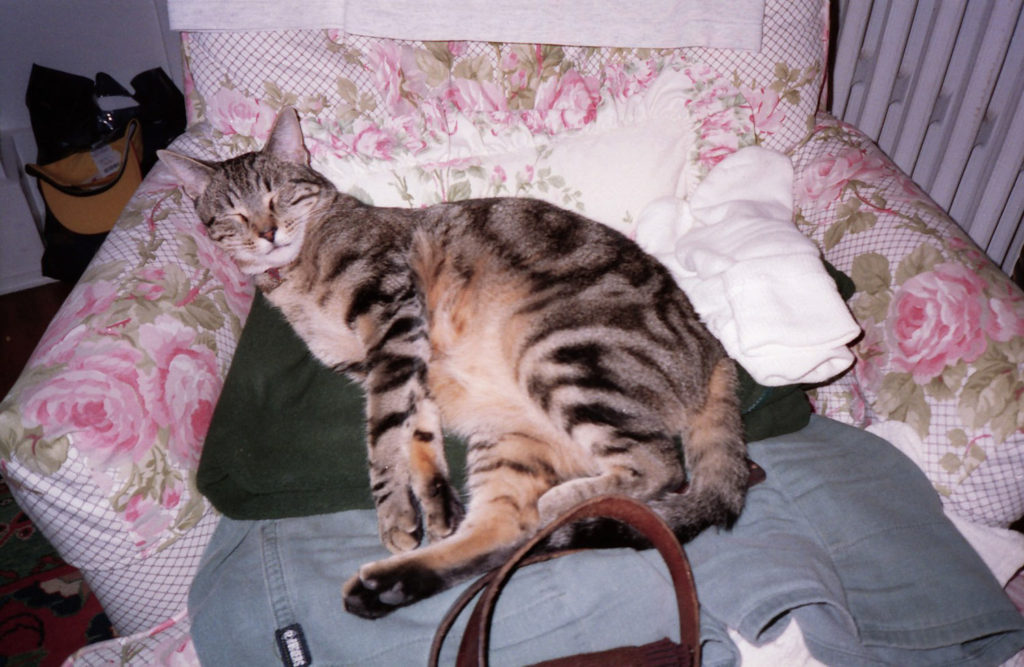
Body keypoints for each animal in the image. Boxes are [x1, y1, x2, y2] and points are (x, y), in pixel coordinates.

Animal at [161, 108, 753, 622]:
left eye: (278, 195)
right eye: (233, 214)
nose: (266, 232)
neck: (300, 273)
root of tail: (713, 347)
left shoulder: (392, 313)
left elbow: (383, 435)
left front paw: (396, 513)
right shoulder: (393, 358)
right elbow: (415, 430)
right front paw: (435, 506)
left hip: (563, 352)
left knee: (658, 468)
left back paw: (561, 502)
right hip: (515, 438)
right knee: (504, 530)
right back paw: (389, 586)